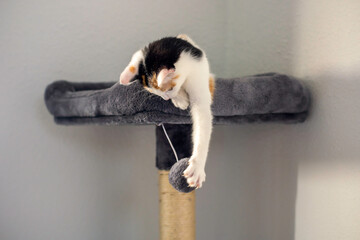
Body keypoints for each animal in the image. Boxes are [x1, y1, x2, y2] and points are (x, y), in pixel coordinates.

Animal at [119, 34, 214, 188]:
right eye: (155, 93)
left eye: (169, 88)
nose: (165, 97)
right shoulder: (140, 53)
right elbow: (135, 59)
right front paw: (180, 98)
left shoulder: (197, 76)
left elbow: (203, 122)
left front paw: (197, 167)